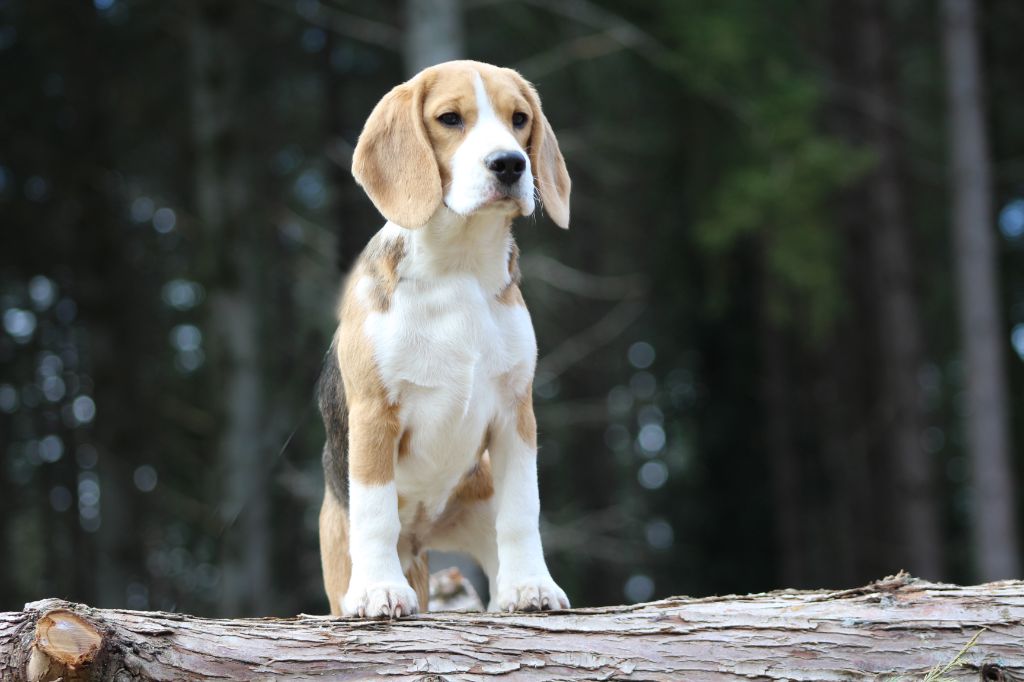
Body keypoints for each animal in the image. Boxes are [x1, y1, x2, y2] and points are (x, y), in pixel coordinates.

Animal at [318, 60, 571, 618]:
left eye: (519, 118)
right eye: (450, 118)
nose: (510, 164)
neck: (460, 267)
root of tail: (421, 538)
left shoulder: (516, 413)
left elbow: (523, 509)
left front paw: (531, 585)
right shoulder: (374, 414)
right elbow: (376, 511)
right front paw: (380, 589)